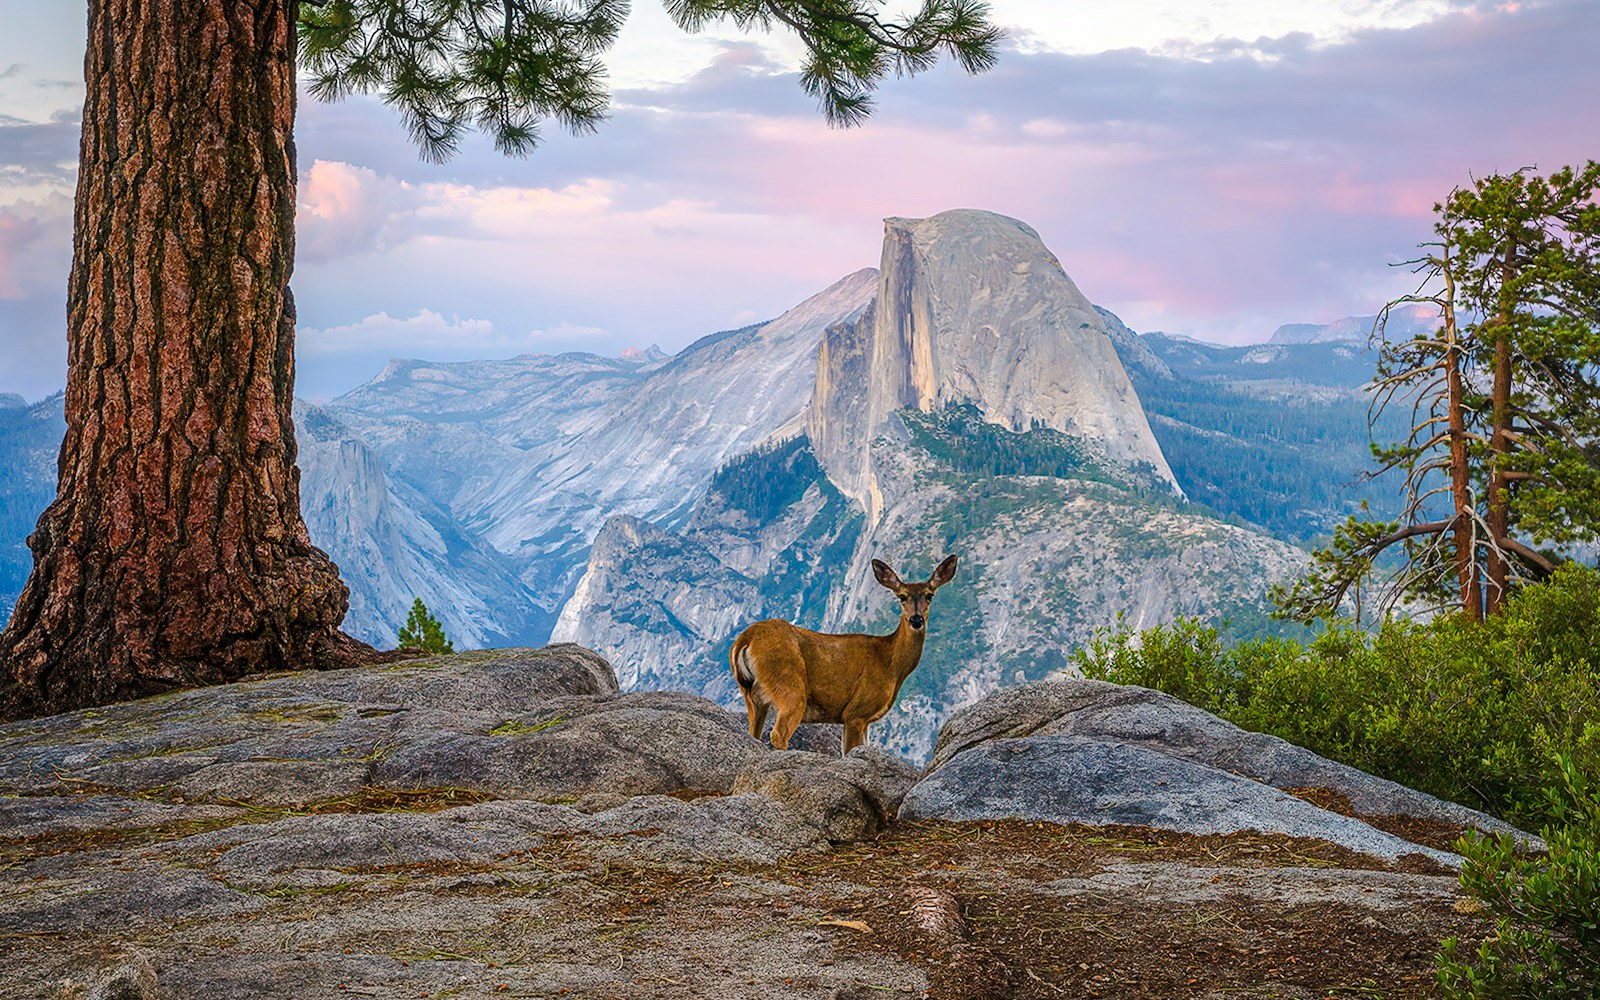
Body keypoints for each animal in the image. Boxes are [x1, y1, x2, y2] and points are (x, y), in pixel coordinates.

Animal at [730, 554, 959, 756]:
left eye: (929, 595)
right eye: (902, 596)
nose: (916, 620)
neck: (891, 663)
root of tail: (746, 639)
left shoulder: (864, 720)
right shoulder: (856, 712)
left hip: (752, 695)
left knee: (753, 733)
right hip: (789, 684)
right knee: (779, 733)